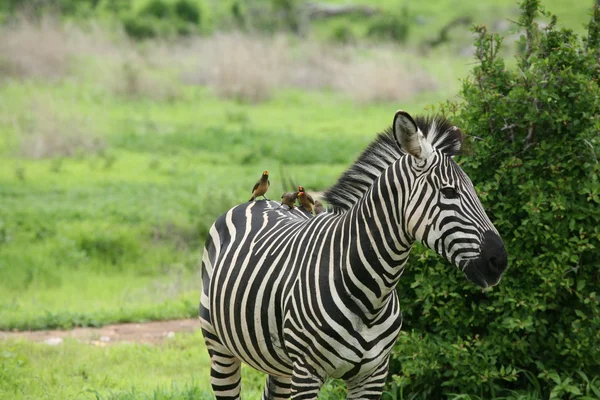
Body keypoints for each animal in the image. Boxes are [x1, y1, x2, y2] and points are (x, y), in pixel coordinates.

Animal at [200, 110, 506, 400]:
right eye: (449, 192)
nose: (499, 260)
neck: (371, 298)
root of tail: (258, 204)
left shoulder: (373, 374)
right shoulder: (307, 372)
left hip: (281, 364)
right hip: (219, 347)